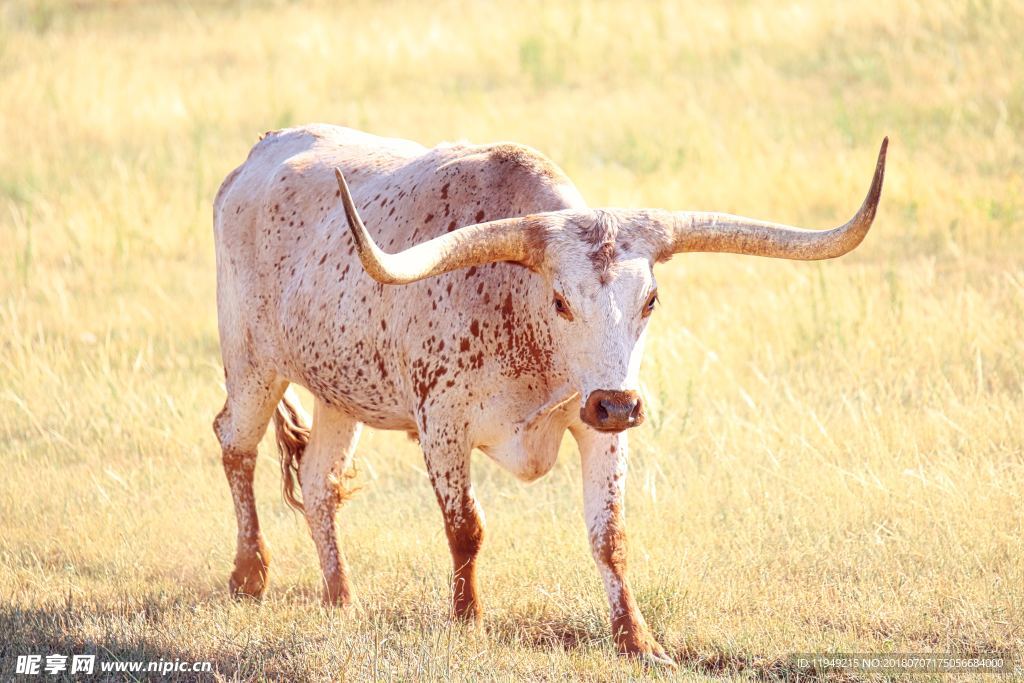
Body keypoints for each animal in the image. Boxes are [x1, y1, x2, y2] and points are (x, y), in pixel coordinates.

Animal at [211, 125, 884, 663]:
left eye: (651, 299)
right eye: (561, 300)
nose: (619, 404)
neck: (519, 312)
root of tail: (257, 154)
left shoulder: (598, 429)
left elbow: (609, 536)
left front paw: (638, 641)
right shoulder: (442, 426)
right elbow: (466, 528)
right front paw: (468, 624)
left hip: (340, 391)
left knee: (320, 482)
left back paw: (341, 598)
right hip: (252, 366)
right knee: (234, 444)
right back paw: (249, 574)